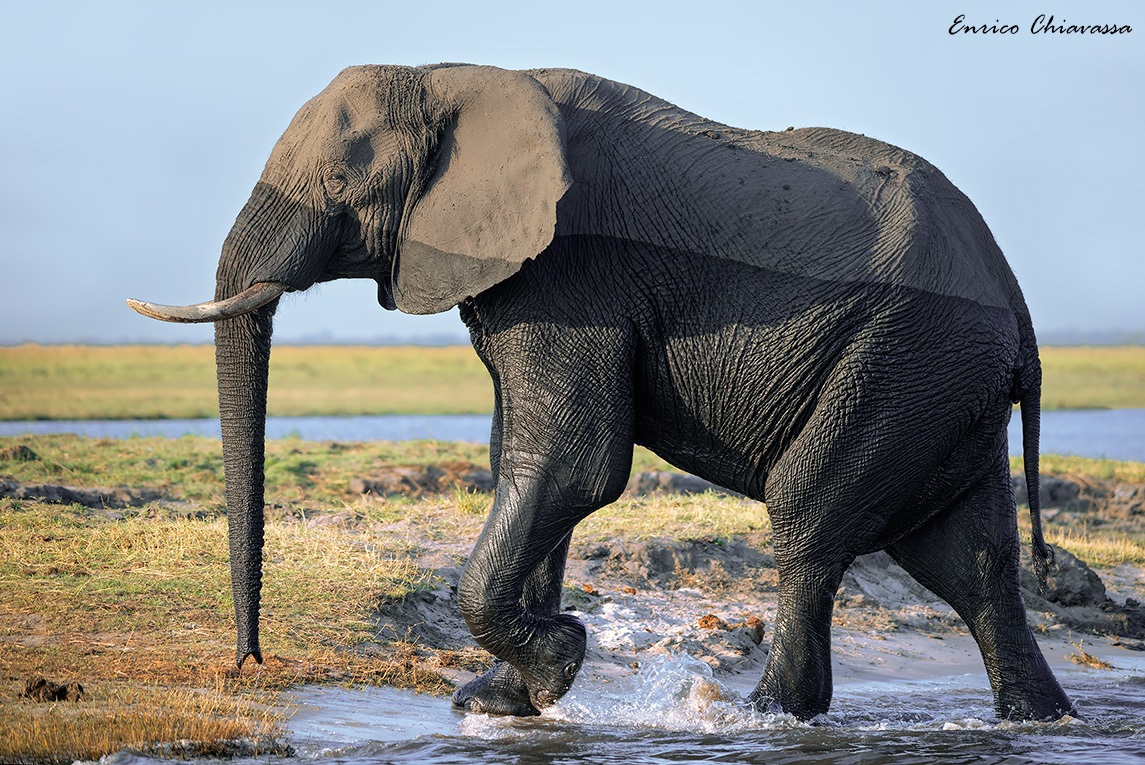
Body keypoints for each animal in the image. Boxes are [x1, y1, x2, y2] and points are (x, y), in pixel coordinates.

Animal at [127, 64, 1073, 721]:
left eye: (337, 187)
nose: (248, 663)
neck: (449, 76)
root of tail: (1021, 311)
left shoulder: (570, 270)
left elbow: (571, 462)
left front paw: (555, 666)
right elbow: (523, 460)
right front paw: (503, 701)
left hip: (900, 362)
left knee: (810, 520)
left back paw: (766, 716)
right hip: (938, 384)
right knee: (969, 562)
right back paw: (1037, 721)